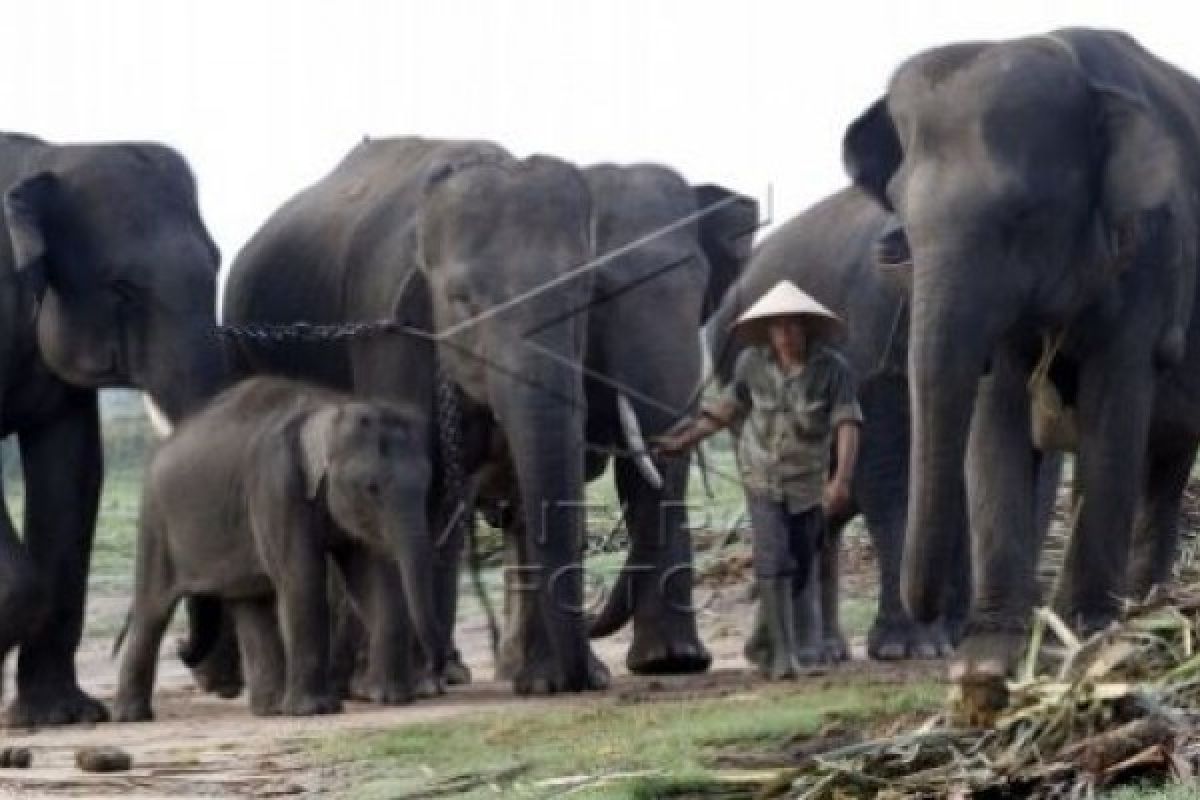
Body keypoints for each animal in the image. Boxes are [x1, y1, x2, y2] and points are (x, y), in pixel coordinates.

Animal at [0, 133, 226, 724]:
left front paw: (61, 717)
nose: (183, 648)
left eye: (218, 264)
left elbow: (74, 470)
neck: (42, 160)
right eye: (122, 288)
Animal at [111, 376, 441, 719]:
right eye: (371, 487)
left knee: (250, 603)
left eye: (427, 483)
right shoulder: (276, 487)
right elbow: (303, 581)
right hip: (155, 521)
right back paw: (132, 716)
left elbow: (373, 580)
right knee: (153, 611)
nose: (435, 666)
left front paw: (393, 698)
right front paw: (315, 710)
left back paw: (271, 709)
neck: (331, 407)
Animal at [222, 137, 604, 695]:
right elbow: (418, 483)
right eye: (462, 299)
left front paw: (547, 682)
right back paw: (362, 680)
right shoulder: (388, 329)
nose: (583, 677)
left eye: (585, 293)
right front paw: (417, 685)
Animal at [840, 26, 1200, 676]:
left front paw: (1086, 631)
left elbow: (1114, 408)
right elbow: (997, 414)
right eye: (901, 211)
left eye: (1021, 213)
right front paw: (991, 656)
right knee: (1168, 458)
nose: (934, 619)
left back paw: (1144, 616)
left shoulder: (1150, 256)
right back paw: (1151, 609)